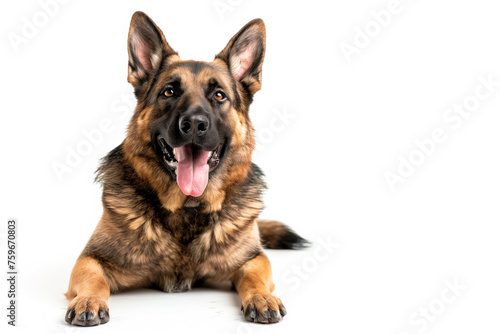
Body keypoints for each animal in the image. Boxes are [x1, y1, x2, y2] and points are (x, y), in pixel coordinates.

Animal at [64, 12, 306, 326]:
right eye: (169, 92)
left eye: (219, 95)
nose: (194, 124)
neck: (188, 208)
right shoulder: (90, 258)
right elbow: (94, 279)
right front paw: (88, 300)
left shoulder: (253, 259)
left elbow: (254, 277)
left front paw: (262, 297)